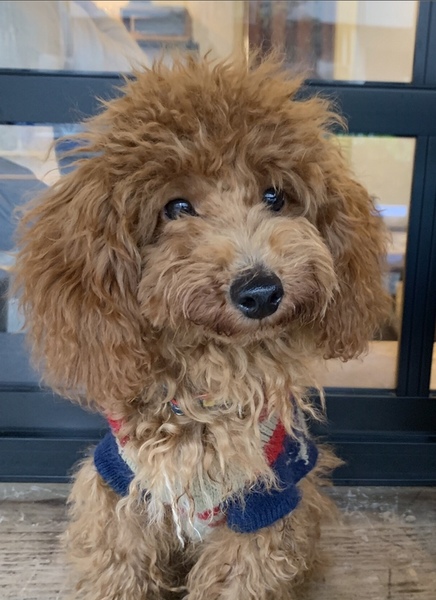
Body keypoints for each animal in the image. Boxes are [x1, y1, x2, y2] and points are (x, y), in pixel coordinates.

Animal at [14, 55, 389, 599]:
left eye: (275, 196)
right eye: (176, 207)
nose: (261, 291)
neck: (211, 386)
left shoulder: (264, 508)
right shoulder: (122, 501)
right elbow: (119, 569)